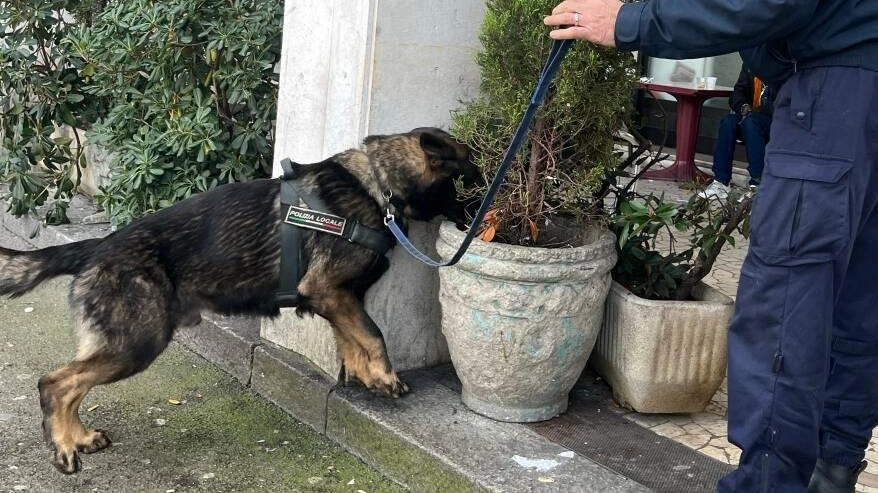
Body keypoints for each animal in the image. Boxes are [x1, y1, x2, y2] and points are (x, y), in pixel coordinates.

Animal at [0, 127, 482, 472]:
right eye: (471, 182)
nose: (485, 220)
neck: (376, 185)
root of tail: (97, 246)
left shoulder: (338, 298)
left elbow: (352, 340)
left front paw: (367, 376)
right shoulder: (328, 291)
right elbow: (373, 333)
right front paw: (385, 376)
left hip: (122, 343)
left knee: (72, 383)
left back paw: (79, 437)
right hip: (137, 342)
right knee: (55, 382)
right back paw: (65, 446)